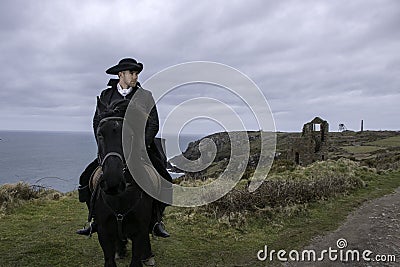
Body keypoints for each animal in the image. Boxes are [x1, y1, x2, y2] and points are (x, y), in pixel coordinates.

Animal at [94, 100, 155, 267]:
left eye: (129, 135)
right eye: (100, 134)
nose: (113, 182)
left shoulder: (140, 232)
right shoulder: (103, 232)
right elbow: (109, 260)